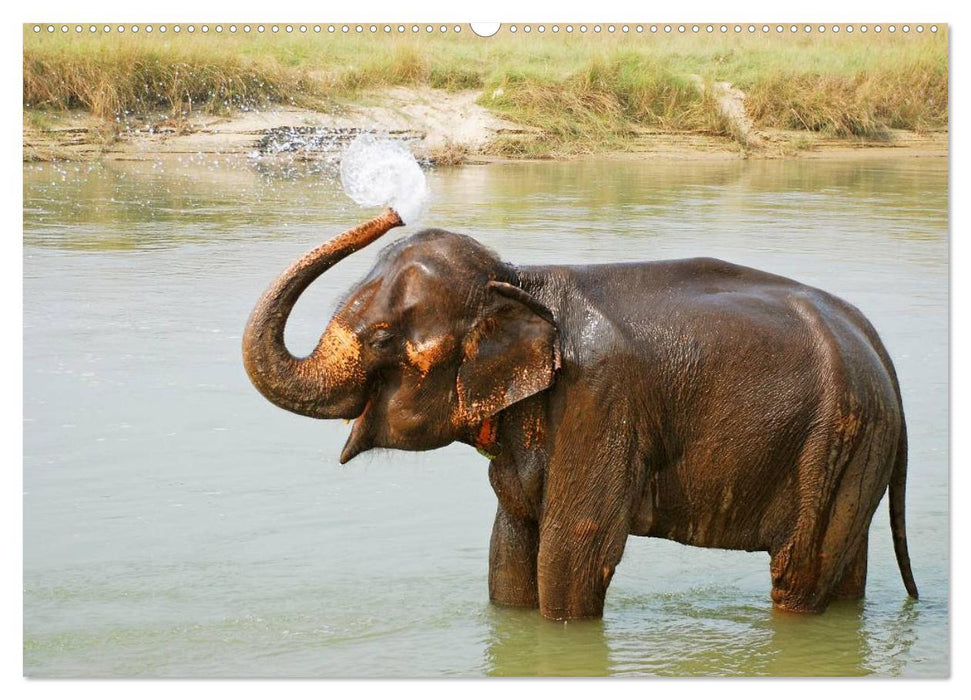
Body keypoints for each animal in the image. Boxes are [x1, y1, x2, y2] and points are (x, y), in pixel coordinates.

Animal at [241, 211, 920, 620]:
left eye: (382, 338)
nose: (392, 213)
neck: (519, 280)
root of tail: (880, 349)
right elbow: (511, 542)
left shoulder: (599, 401)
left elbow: (573, 549)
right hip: (857, 447)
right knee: (844, 565)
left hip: (835, 439)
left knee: (800, 571)